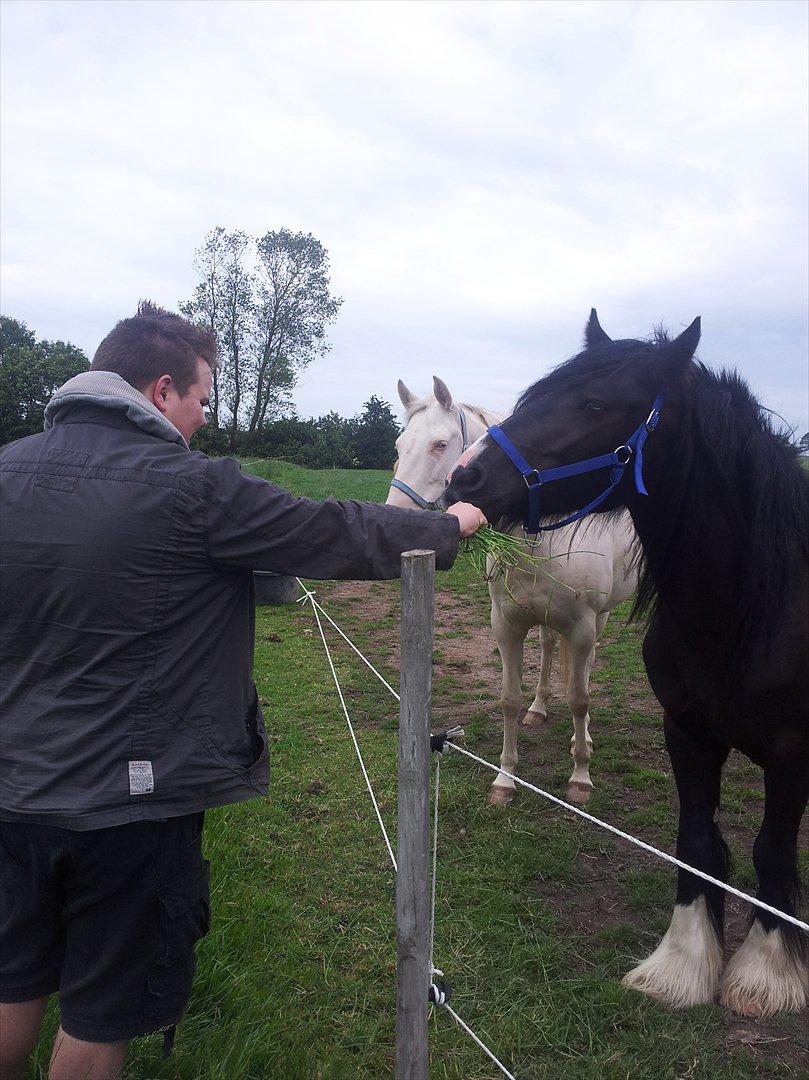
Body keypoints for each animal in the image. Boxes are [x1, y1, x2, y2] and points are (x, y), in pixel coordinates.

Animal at [388, 375, 639, 807]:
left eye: (440, 444)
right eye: (400, 448)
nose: (395, 514)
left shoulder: (582, 627)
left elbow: (580, 699)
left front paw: (581, 776)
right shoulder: (506, 625)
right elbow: (509, 699)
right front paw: (505, 779)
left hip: (600, 617)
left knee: (586, 669)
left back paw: (585, 736)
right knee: (549, 648)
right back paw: (539, 708)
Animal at [445, 311, 807, 1010]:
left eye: (594, 404)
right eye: (534, 395)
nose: (465, 480)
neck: (747, 608)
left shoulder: (792, 751)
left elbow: (773, 852)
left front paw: (766, 975)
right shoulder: (687, 732)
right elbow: (697, 843)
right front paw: (683, 962)